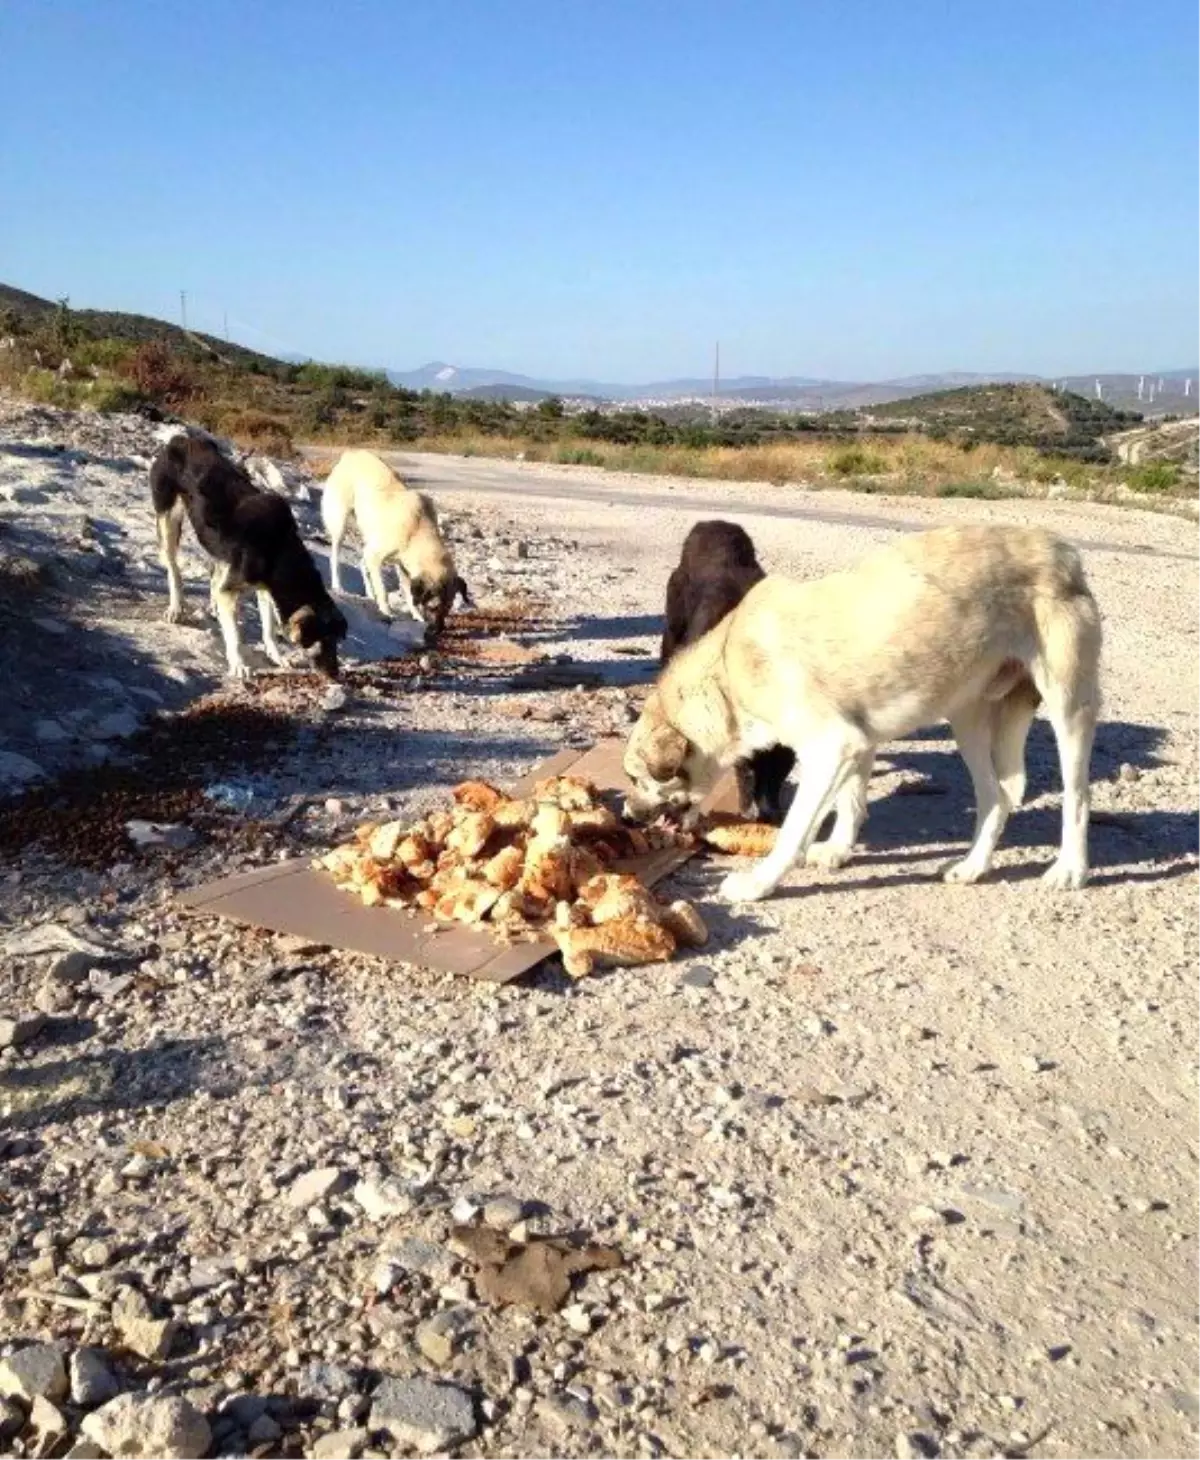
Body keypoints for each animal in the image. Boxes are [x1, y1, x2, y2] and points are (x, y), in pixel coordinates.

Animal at [150, 432, 347, 677]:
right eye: (324, 639)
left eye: (337, 641)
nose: (335, 675)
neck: (279, 548)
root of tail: (179, 439)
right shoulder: (232, 590)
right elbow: (234, 636)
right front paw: (238, 664)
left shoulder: (265, 589)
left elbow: (269, 630)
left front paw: (276, 656)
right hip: (168, 519)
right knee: (174, 569)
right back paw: (176, 607)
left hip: (217, 548)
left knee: (214, 578)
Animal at [321, 449, 472, 633]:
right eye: (433, 608)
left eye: (448, 608)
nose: (438, 631)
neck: (418, 531)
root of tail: (352, 453)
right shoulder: (377, 557)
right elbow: (383, 590)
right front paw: (387, 611)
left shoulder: (404, 568)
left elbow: (409, 594)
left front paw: (417, 616)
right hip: (340, 524)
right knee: (336, 556)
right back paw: (339, 587)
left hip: (369, 541)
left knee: (362, 564)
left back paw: (370, 595)